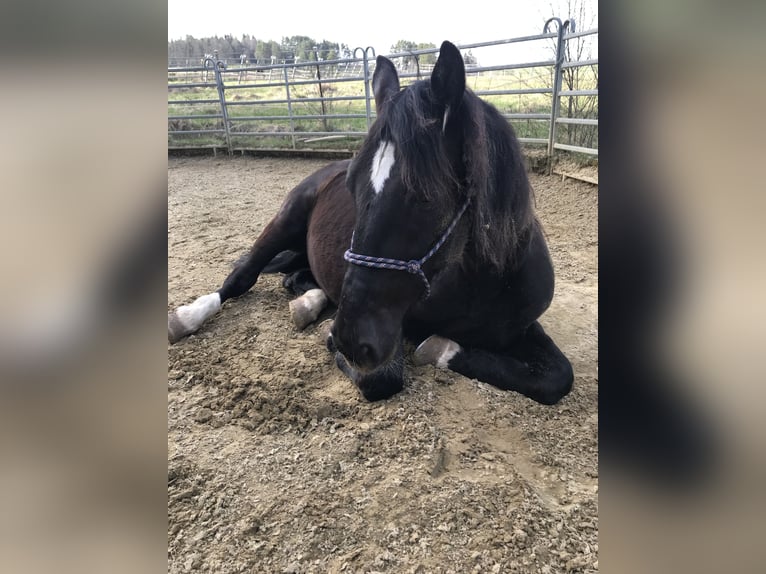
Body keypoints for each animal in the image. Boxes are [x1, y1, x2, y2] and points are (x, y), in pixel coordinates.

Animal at [170, 41, 576, 404]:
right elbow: (382, 378)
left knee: (296, 277)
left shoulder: (520, 329)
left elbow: (558, 378)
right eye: (351, 185)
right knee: (243, 275)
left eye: (426, 197)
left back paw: (309, 303)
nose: (350, 338)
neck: (482, 281)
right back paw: (188, 317)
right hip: (286, 219)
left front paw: (440, 347)